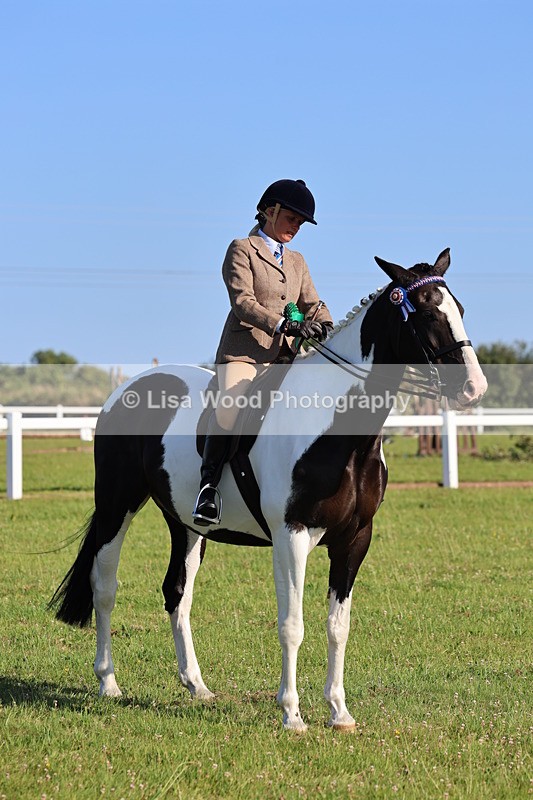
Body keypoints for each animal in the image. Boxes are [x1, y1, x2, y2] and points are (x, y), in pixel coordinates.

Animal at [49, 249, 487, 732]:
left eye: (459, 309)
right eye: (427, 312)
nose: (474, 388)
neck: (339, 432)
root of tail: (126, 389)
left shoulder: (355, 539)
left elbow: (338, 626)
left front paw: (339, 712)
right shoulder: (291, 536)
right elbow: (292, 625)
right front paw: (292, 714)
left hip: (186, 524)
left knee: (178, 593)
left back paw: (196, 686)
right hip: (117, 505)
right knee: (104, 584)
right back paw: (108, 682)